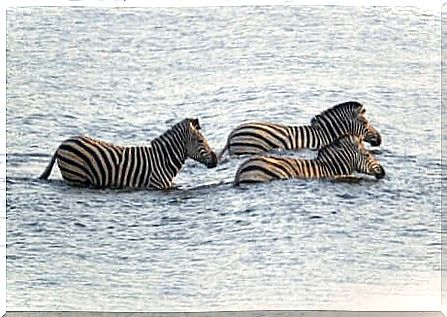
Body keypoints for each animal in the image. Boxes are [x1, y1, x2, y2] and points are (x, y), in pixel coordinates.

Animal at [39, 118, 218, 188]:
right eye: (200, 141)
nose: (216, 159)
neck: (162, 161)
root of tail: (62, 144)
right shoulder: (155, 184)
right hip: (76, 176)